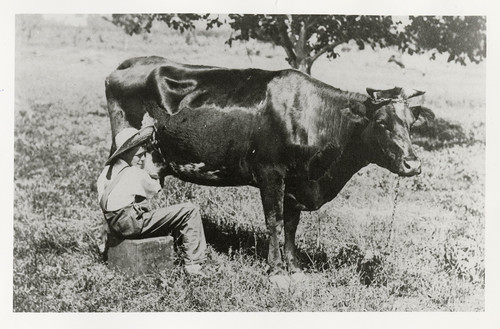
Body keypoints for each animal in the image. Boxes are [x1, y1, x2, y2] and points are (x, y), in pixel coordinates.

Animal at [105, 55, 434, 280]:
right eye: (381, 122)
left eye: (411, 123)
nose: (413, 164)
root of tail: (130, 63)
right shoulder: (270, 172)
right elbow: (274, 220)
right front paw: (275, 268)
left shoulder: (297, 182)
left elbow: (291, 223)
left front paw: (295, 265)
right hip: (124, 144)